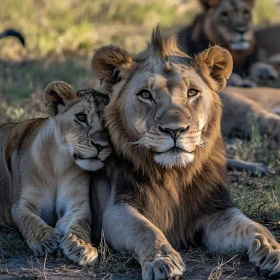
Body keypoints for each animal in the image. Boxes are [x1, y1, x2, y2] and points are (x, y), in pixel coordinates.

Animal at [0, 82, 111, 266]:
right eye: (81, 117)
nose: (101, 145)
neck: (59, 162)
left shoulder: (77, 205)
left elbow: (81, 222)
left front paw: (82, 246)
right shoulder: (22, 203)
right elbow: (28, 219)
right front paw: (45, 239)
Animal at [91, 27, 280, 278]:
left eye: (192, 93)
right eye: (145, 95)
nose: (175, 130)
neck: (174, 175)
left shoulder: (217, 211)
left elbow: (254, 227)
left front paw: (273, 252)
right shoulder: (116, 209)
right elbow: (145, 229)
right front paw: (163, 260)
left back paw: (259, 167)